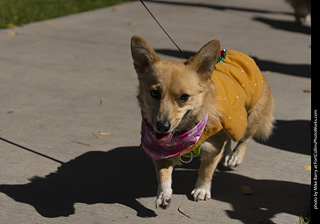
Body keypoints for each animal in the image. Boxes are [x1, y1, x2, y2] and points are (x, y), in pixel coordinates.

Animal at [131, 35, 276, 208]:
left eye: (184, 97)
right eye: (154, 93)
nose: (162, 126)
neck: (185, 132)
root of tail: (246, 57)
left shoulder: (213, 147)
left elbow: (206, 170)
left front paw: (202, 190)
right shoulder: (160, 151)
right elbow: (163, 175)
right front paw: (163, 195)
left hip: (248, 120)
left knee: (244, 138)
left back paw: (235, 156)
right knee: (229, 140)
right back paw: (227, 154)